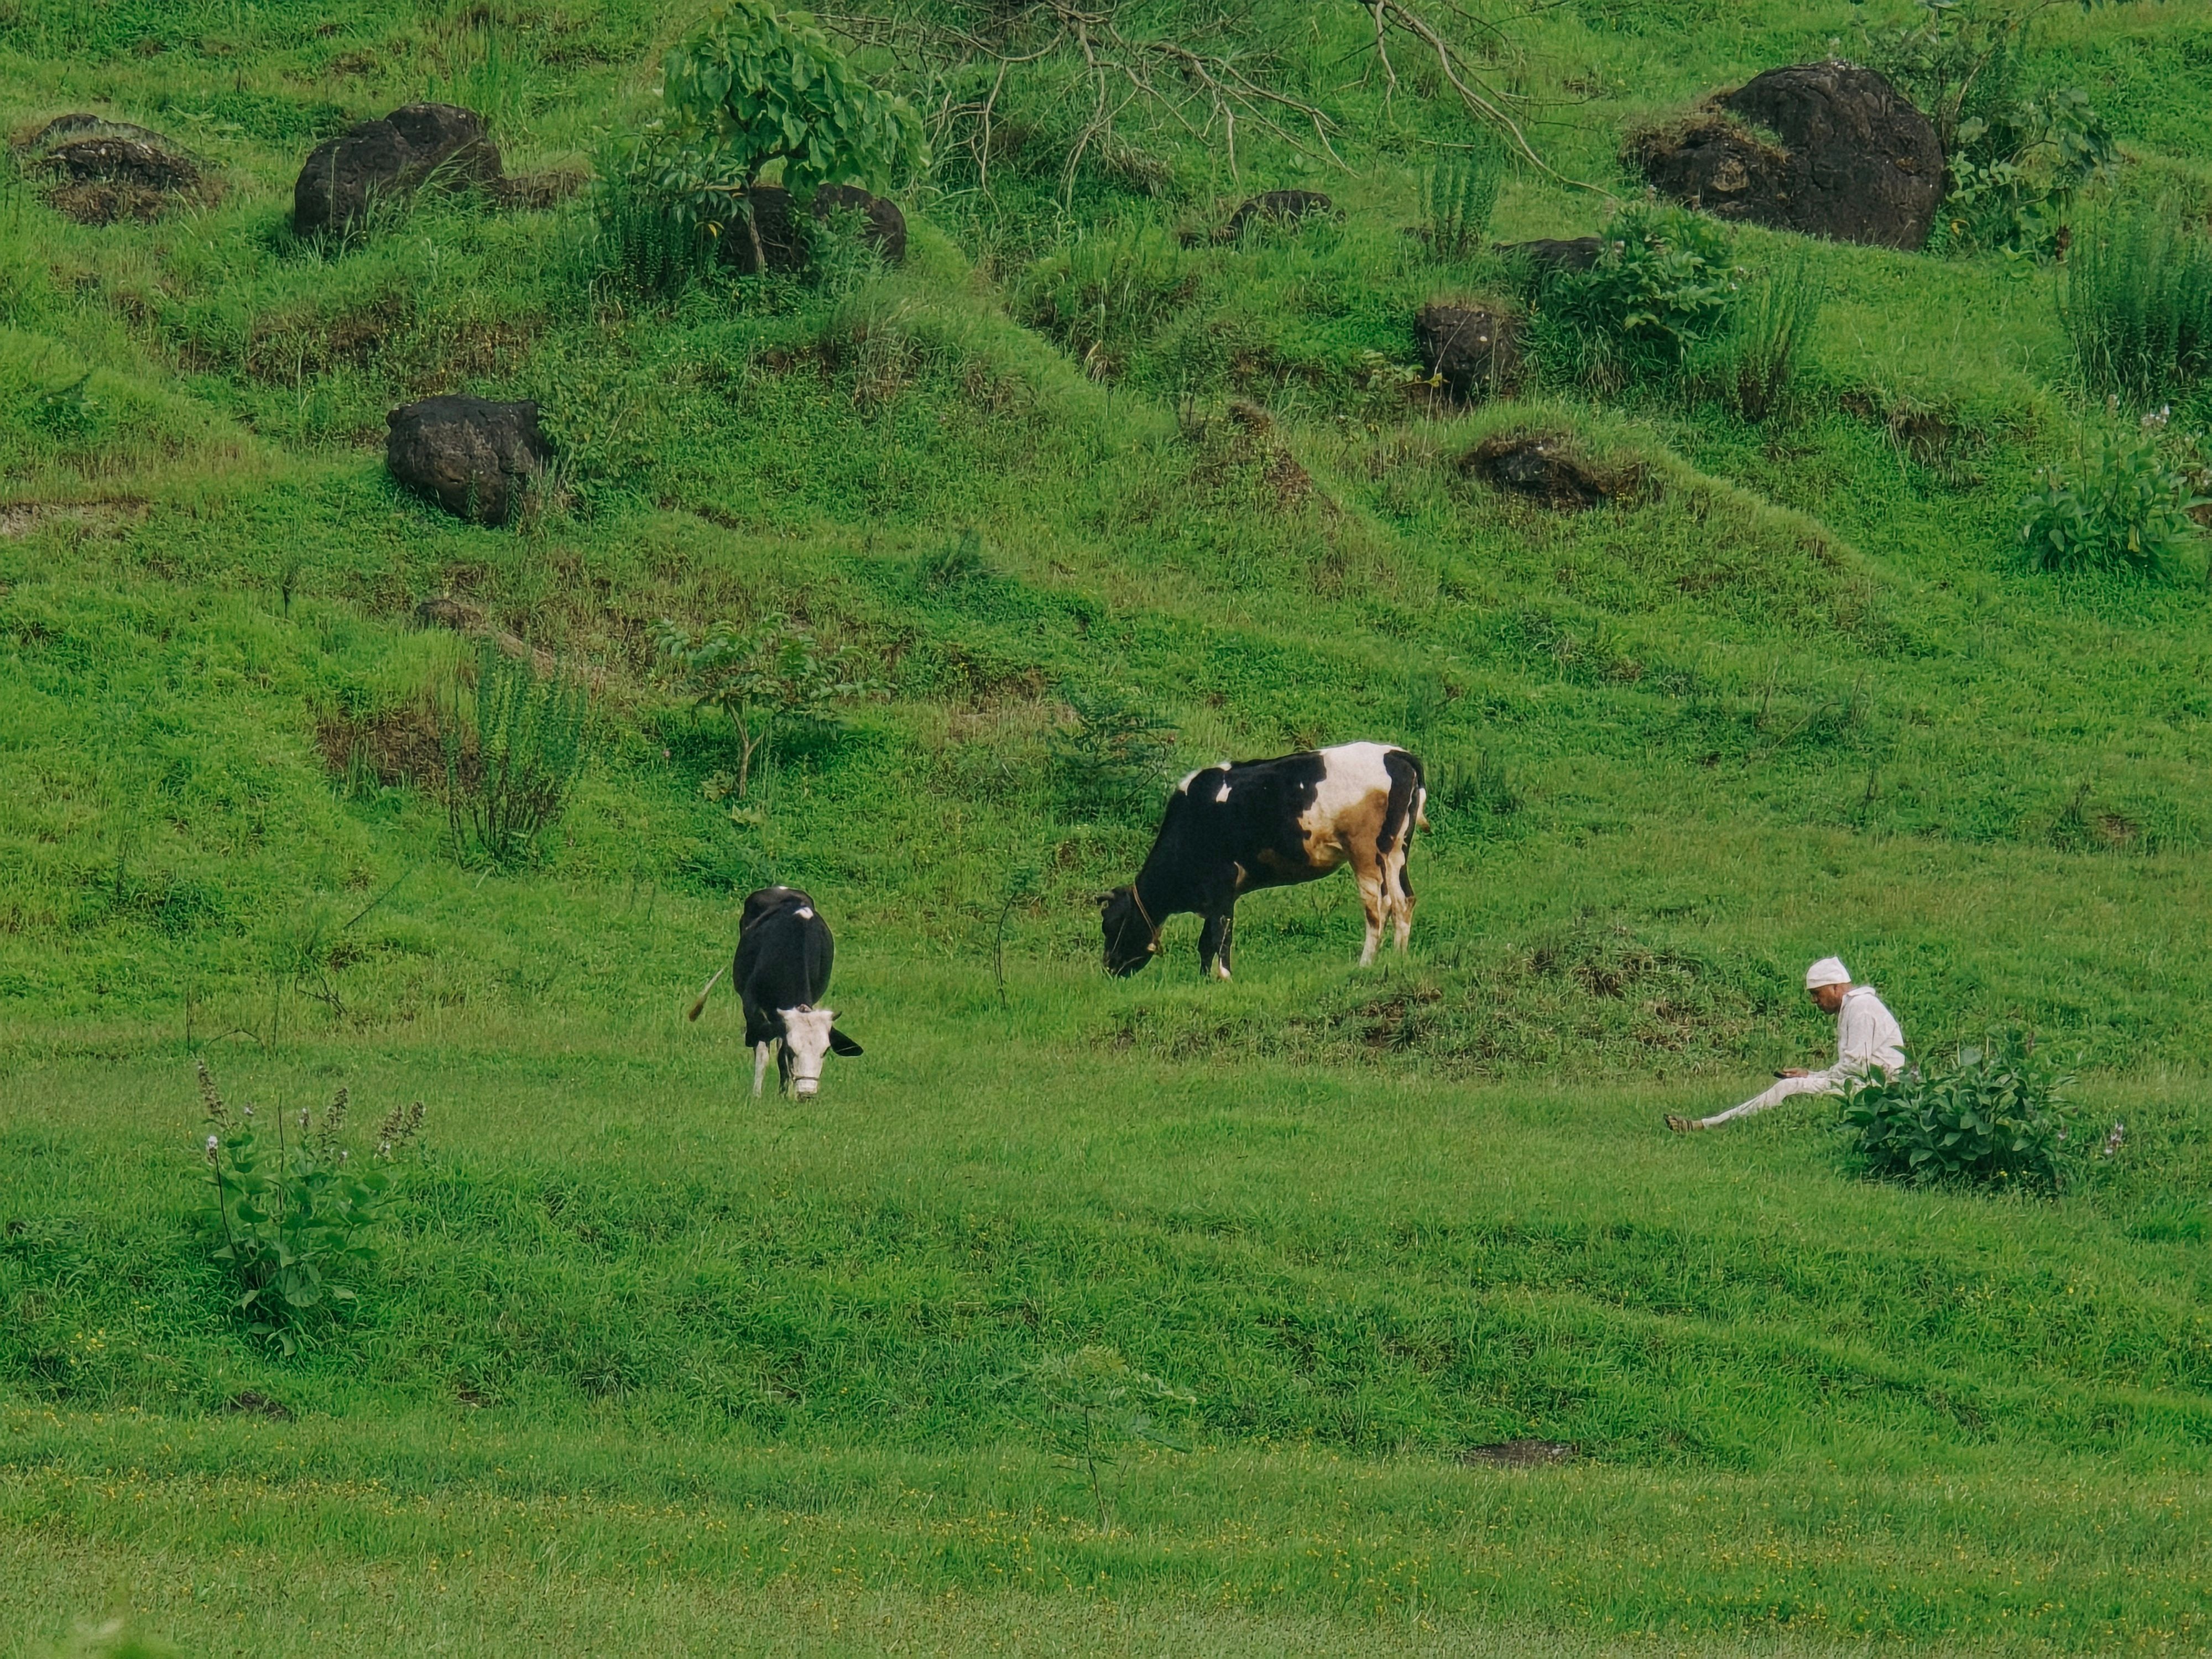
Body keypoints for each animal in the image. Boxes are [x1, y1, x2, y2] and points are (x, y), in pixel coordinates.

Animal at [686, 886, 862, 1098]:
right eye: (793, 1051)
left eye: (825, 1051)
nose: (807, 1093)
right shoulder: (752, 1005)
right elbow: (763, 1053)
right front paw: (757, 1095)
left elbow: (780, 1055)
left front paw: (786, 1094)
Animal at [1097, 742, 1427, 980]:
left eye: (1110, 925)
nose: (1109, 968)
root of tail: (1398, 754)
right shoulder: (1224, 893)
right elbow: (1216, 938)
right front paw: (1213, 977)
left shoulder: (1221, 882)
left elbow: (1215, 936)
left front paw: (1217, 978)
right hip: (1396, 850)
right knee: (1404, 900)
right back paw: (1398, 959)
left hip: (1365, 851)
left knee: (1380, 906)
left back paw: (1369, 965)